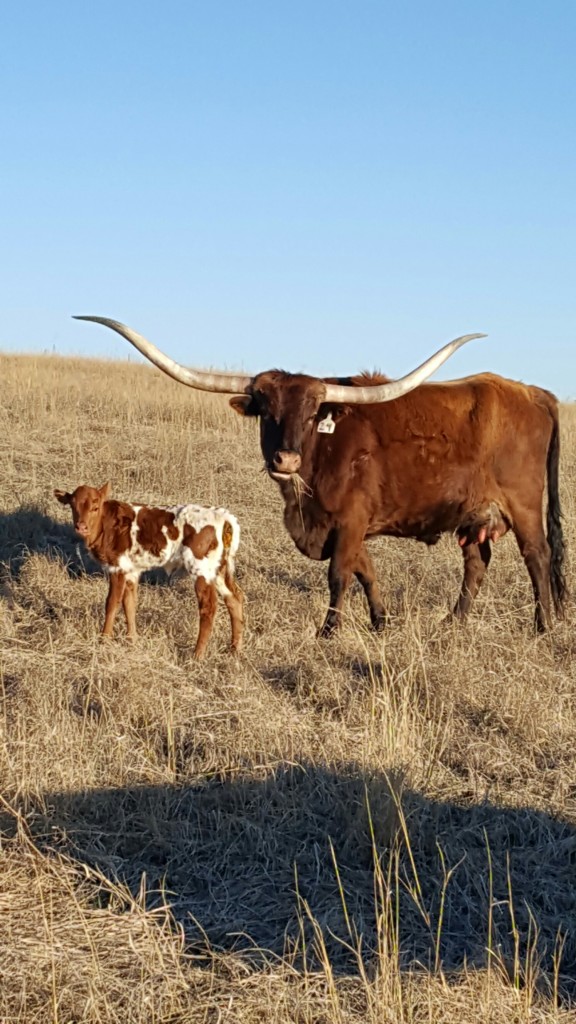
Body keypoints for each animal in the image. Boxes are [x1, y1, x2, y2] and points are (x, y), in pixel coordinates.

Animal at [54, 482, 244, 659]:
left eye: (95, 507)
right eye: (73, 506)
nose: (81, 527)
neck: (105, 525)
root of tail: (223, 516)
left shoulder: (117, 568)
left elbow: (112, 603)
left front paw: (104, 639)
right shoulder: (131, 570)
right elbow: (129, 603)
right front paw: (132, 640)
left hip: (201, 568)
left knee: (208, 607)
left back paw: (197, 655)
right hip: (218, 570)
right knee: (234, 599)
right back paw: (234, 649)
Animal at [74, 317, 567, 635]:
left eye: (313, 413)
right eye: (266, 409)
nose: (286, 459)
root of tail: (533, 392)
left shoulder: (349, 521)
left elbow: (340, 574)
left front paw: (328, 632)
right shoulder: (343, 525)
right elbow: (366, 571)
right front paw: (381, 622)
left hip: (523, 505)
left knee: (538, 557)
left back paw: (542, 627)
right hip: (474, 516)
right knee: (476, 565)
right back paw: (452, 623)